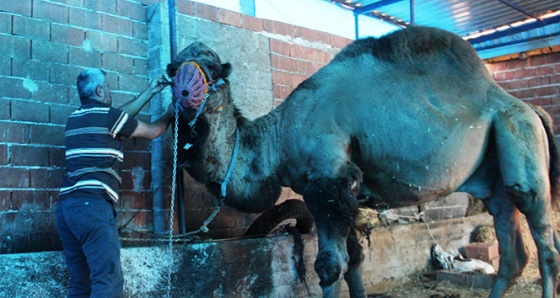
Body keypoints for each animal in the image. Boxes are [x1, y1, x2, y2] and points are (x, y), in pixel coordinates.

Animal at [168, 26, 560, 298]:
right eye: (173, 69)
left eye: (213, 69)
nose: (186, 90)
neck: (278, 135)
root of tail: (526, 105)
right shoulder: (345, 189)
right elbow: (355, 260)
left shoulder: (327, 179)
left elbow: (330, 266)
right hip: (496, 176)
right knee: (512, 251)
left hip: (520, 137)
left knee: (545, 241)